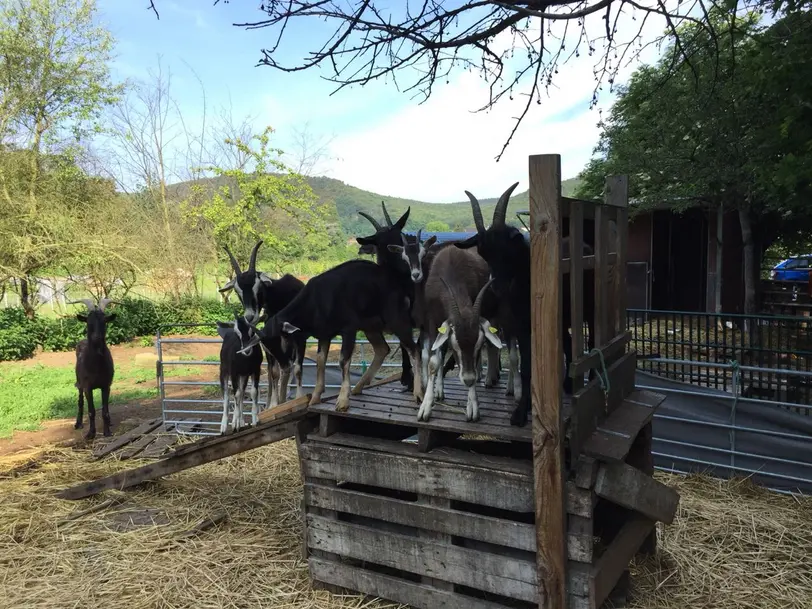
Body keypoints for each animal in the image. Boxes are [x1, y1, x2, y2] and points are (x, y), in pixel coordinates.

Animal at [72, 298, 116, 436]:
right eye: (88, 321)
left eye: (104, 321)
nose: (97, 338)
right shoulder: (87, 386)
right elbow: (91, 411)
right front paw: (91, 433)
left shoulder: (106, 385)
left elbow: (105, 410)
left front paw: (107, 431)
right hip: (79, 382)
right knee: (80, 401)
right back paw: (78, 423)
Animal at [219, 240, 308, 406]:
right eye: (237, 291)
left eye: (258, 286)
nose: (249, 316)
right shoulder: (270, 344)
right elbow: (275, 373)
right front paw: (274, 404)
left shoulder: (299, 337)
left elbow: (296, 369)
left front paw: (298, 398)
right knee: (277, 372)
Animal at [238, 258, 422, 410]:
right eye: (266, 345)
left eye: (280, 338)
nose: (284, 364)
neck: (316, 301)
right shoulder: (324, 335)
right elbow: (320, 360)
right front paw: (315, 397)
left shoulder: (349, 329)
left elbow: (343, 360)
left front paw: (342, 400)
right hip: (371, 327)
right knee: (382, 349)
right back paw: (359, 387)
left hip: (397, 320)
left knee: (414, 349)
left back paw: (418, 394)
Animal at [418, 245, 502, 420]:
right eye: (455, 345)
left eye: (478, 345)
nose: (468, 380)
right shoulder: (433, 322)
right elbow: (433, 362)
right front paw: (425, 407)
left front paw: (472, 406)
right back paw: (440, 391)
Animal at [456, 183, 596, 426]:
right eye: (483, 252)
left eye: (508, 247)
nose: (497, 286)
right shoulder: (522, 327)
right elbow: (526, 366)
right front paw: (524, 408)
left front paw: (521, 411)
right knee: (569, 343)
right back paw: (567, 385)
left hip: (589, 308)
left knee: (596, 337)